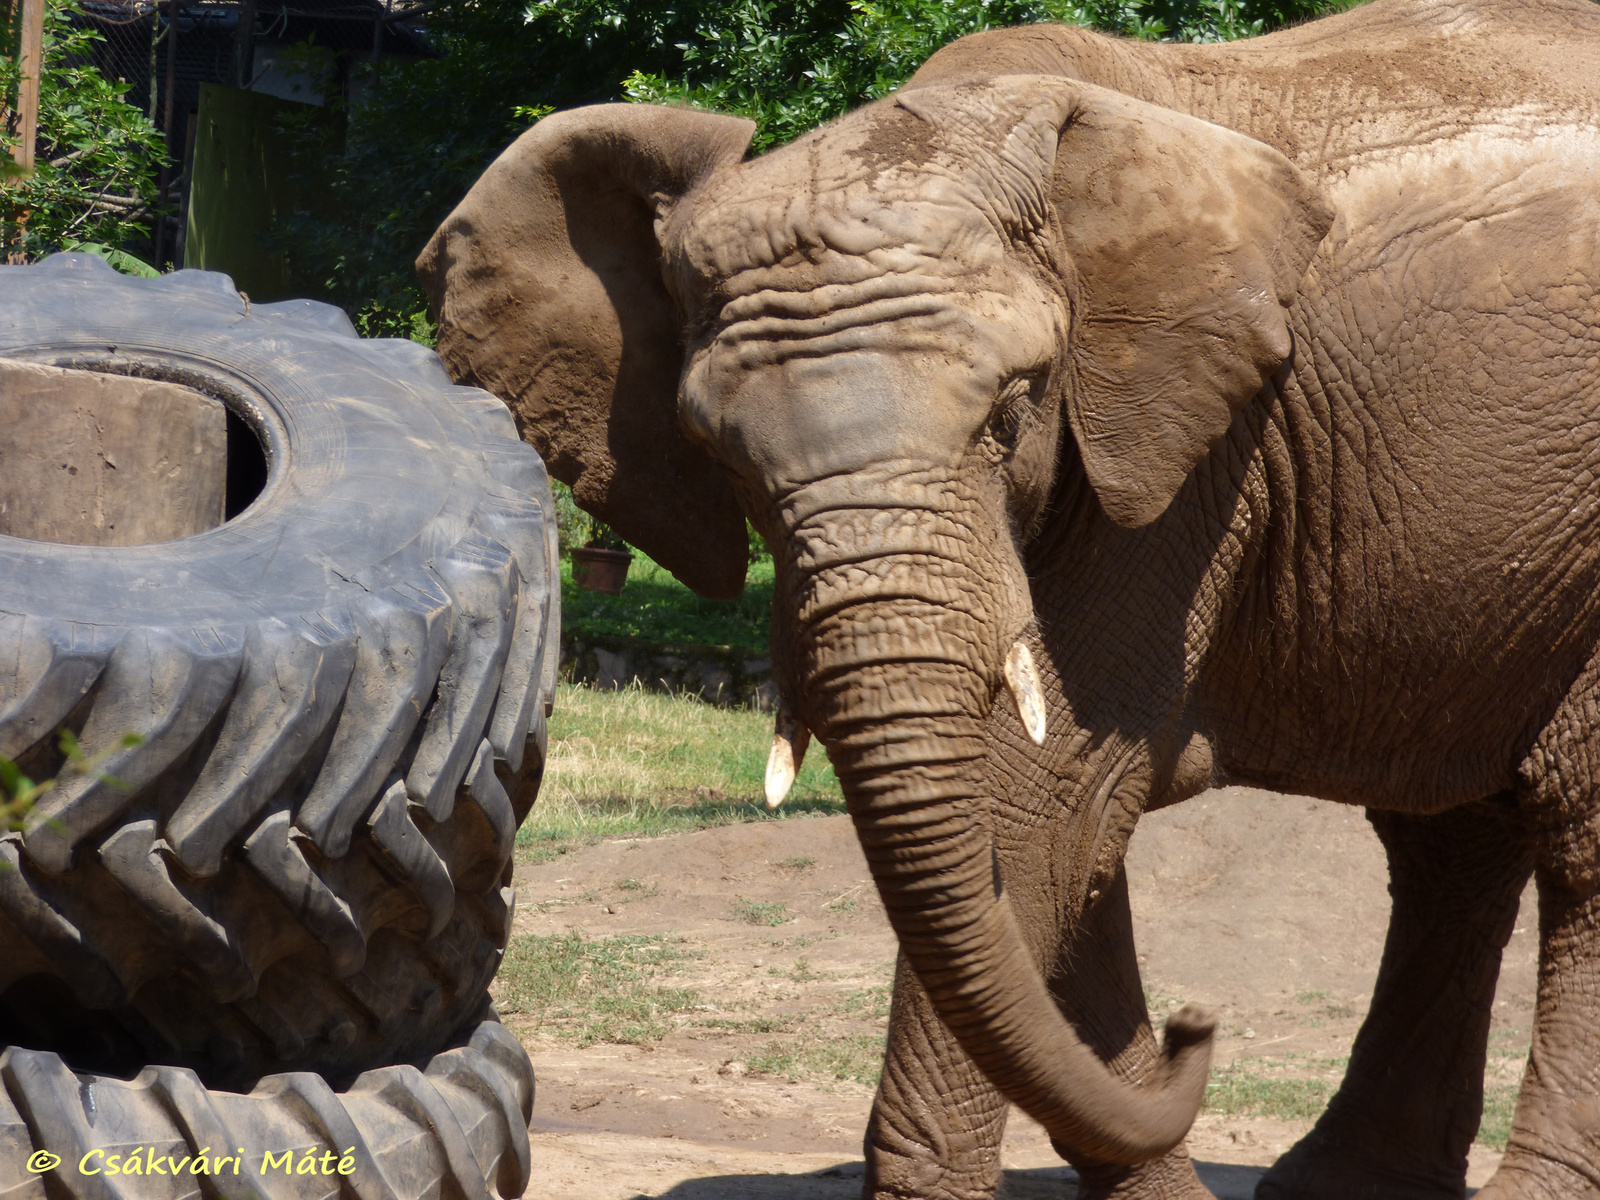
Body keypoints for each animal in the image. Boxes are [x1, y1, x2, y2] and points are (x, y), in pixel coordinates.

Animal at [416, 2, 1600, 1196]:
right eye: (721, 454)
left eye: (1011, 412)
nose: (1200, 1026)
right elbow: (1057, 836)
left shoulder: (1184, 458)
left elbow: (1046, 794)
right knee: (1449, 845)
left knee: (1571, 834)